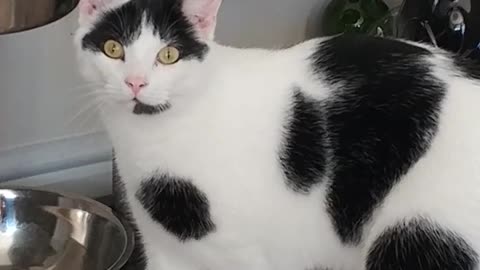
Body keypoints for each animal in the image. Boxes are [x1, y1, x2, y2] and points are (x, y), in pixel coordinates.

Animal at [73, 0, 480, 270]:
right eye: (113, 49)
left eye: (169, 55)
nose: (136, 82)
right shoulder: (163, 247)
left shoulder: (246, 255)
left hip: (417, 235)